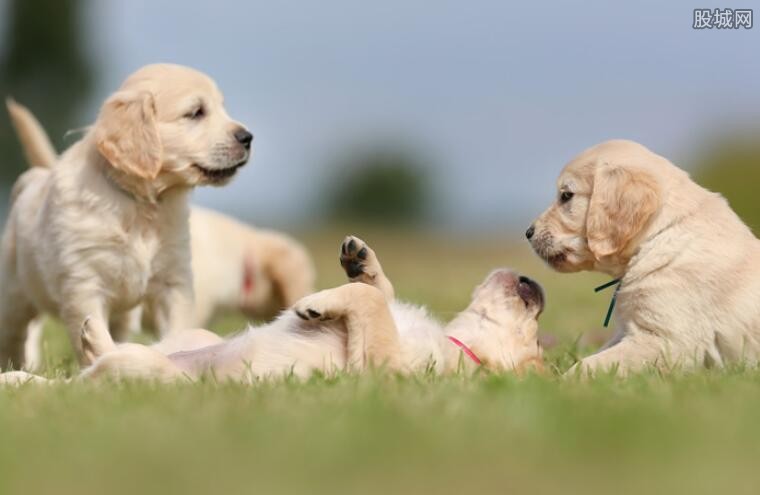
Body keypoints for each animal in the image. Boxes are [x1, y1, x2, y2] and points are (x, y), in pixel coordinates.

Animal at [0, 64, 255, 368]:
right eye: (196, 112)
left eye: (221, 107)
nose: (247, 138)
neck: (141, 206)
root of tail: (36, 177)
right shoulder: (84, 285)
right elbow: (90, 331)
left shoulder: (175, 281)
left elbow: (178, 328)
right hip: (14, 295)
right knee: (13, 336)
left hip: (122, 315)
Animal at [0, 235, 548, 384]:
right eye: (536, 333)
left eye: (535, 348)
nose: (536, 285)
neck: (459, 347)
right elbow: (380, 292)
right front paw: (360, 261)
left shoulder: (382, 373)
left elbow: (371, 302)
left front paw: (312, 305)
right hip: (195, 336)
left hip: (153, 375)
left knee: (87, 378)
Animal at [524, 140, 760, 376]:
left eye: (566, 196)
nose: (528, 233)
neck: (660, 234)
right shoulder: (627, 331)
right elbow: (599, 354)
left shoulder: (667, 341)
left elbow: (593, 363)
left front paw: (564, 380)